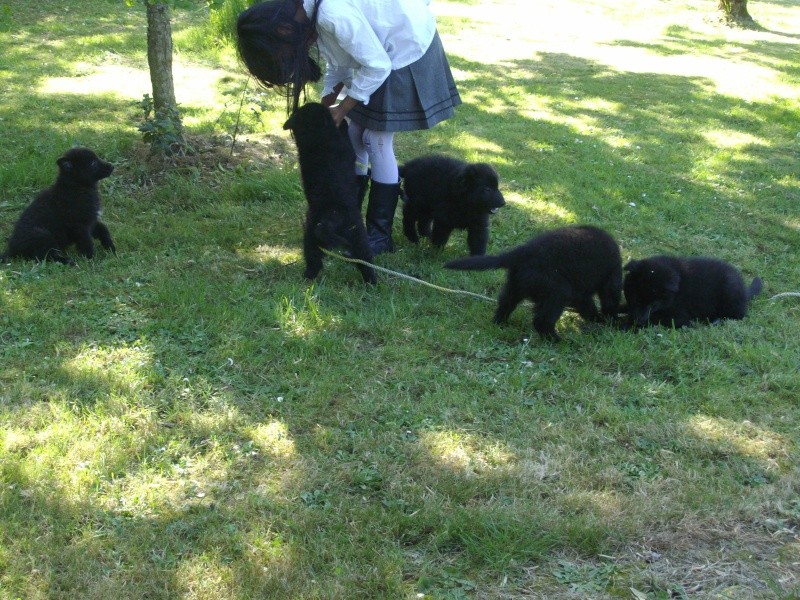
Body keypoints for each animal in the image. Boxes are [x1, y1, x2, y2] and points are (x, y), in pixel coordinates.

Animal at [284, 103, 378, 286]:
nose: (343, 120)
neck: (318, 134)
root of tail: (332, 217)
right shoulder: (346, 147)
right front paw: (343, 124)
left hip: (323, 238)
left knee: (316, 262)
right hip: (352, 235)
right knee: (361, 261)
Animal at [444, 225, 624, 340]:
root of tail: (521, 253)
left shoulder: (581, 295)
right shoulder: (603, 284)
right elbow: (599, 305)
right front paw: (606, 321)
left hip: (515, 287)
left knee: (505, 304)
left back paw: (499, 324)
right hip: (558, 292)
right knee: (541, 321)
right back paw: (560, 342)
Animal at [620, 253, 764, 328]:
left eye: (654, 304)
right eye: (636, 297)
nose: (637, 321)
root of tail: (745, 292)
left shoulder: (680, 318)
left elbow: (655, 318)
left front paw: (625, 325)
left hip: (730, 291)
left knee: (738, 315)